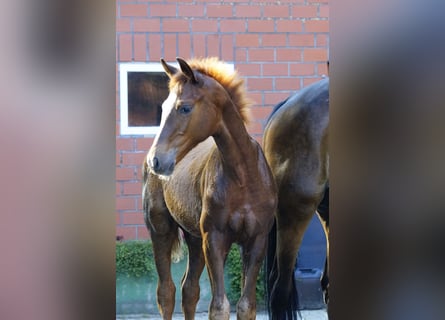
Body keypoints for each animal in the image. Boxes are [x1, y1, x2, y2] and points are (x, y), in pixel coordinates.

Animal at [142, 58, 276, 320]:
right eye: (163, 107)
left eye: (184, 108)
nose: (156, 161)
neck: (244, 177)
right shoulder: (214, 238)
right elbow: (219, 307)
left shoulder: (256, 240)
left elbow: (246, 306)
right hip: (161, 229)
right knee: (166, 292)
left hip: (194, 237)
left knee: (189, 289)